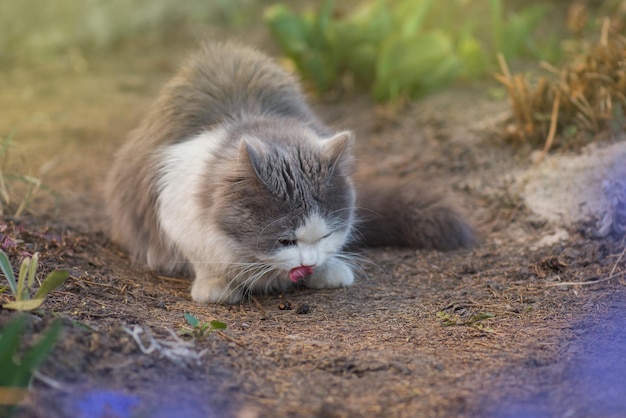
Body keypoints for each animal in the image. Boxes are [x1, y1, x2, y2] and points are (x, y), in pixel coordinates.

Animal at [105, 42, 472, 304]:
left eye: (324, 235)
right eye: (285, 240)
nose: (307, 263)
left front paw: (328, 270)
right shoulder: (174, 206)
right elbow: (202, 256)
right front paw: (216, 285)